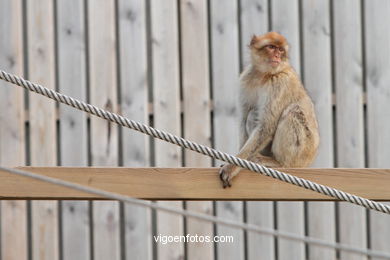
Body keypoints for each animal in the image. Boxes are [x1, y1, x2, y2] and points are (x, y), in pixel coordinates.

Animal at [218, 32, 318, 189]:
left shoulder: (279, 83)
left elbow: (266, 127)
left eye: (281, 50)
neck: (263, 75)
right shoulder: (246, 79)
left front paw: (231, 167)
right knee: (252, 114)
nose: (277, 56)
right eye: (271, 47)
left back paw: (281, 163)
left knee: (293, 111)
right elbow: (244, 118)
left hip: (301, 154)